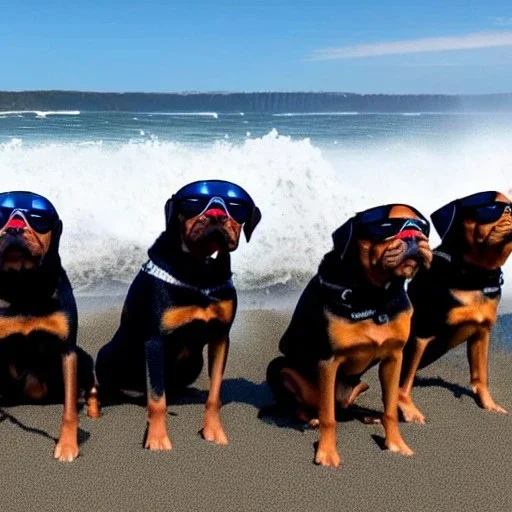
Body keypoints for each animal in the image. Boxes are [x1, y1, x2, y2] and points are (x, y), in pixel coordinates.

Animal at [0, 190, 96, 462]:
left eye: (37, 218)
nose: (14, 228)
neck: (24, 282)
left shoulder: (67, 349)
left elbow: (69, 408)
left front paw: (67, 446)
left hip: (84, 357)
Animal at [96, 181, 262, 452]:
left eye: (236, 205)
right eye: (193, 202)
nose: (216, 213)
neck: (201, 270)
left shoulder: (220, 336)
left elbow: (215, 394)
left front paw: (213, 431)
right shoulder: (155, 338)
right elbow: (157, 398)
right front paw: (157, 438)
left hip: (194, 362)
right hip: (108, 354)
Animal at [268, 202, 432, 466]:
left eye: (422, 227)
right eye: (386, 226)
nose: (414, 236)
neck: (375, 295)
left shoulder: (393, 357)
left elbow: (390, 409)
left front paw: (396, 444)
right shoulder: (328, 361)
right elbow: (328, 418)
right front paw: (327, 453)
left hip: (359, 384)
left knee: (343, 407)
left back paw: (366, 415)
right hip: (279, 368)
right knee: (306, 407)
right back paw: (310, 418)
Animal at [400, 192, 512, 424]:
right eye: (490, 208)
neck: (474, 273)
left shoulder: (481, 333)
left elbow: (481, 376)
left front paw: (489, 406)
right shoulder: (421, 333)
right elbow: (404, 380)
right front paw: (408, 410)